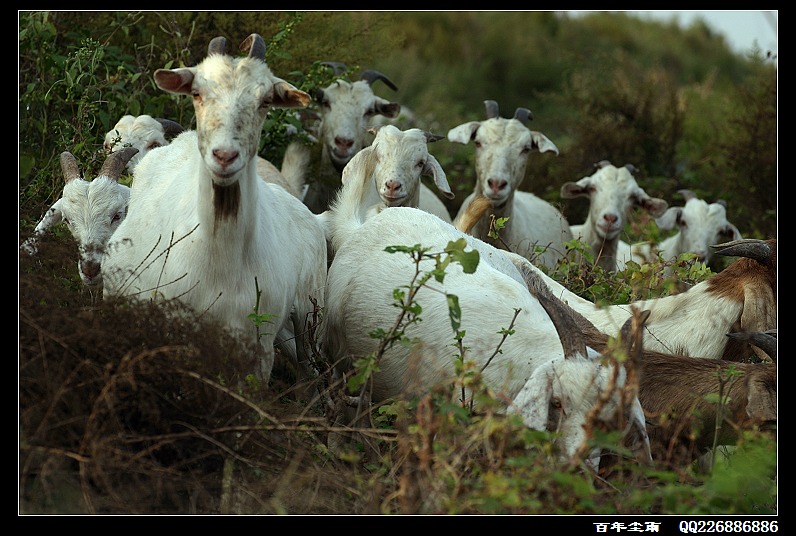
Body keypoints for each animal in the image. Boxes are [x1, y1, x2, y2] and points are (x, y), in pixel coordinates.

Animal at [102, 34, 326, 386]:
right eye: (197, 92)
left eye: (266, 101)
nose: (224, 156)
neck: (219, 259)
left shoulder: (258, 350)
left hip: (310, 318)